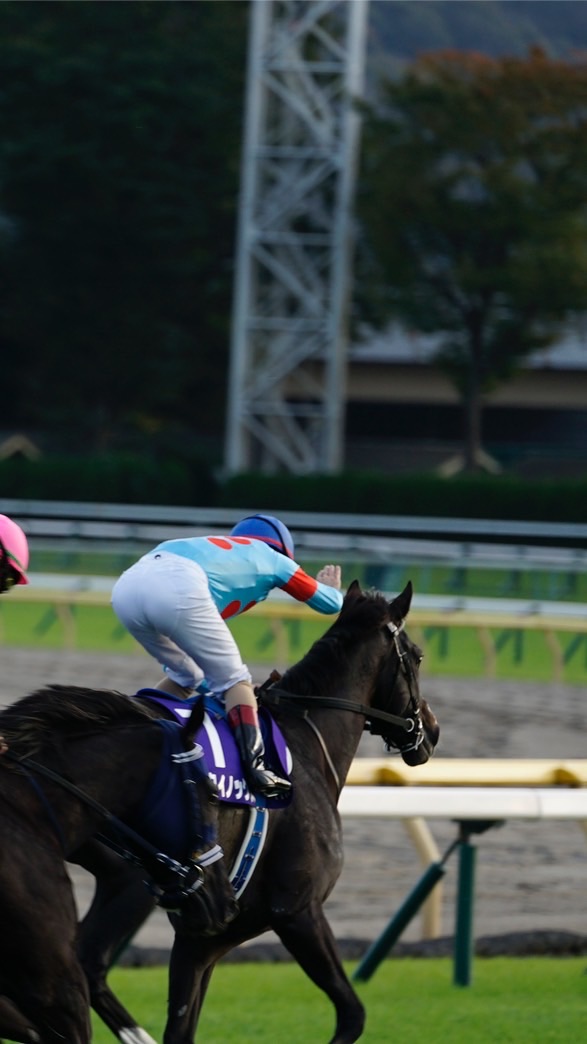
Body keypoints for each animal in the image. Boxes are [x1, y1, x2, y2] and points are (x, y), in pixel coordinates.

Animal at [74, 584, 438, 1039]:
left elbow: (182, 1025)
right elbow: (352, 1015)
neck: (302, 745)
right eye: (418, 655)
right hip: (131, 876)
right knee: (87, 961)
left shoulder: (205, 934)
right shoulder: (297, 910)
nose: (433, 730)